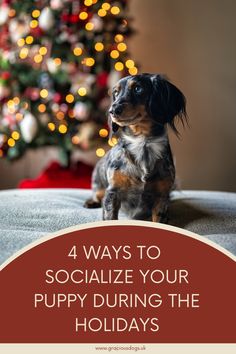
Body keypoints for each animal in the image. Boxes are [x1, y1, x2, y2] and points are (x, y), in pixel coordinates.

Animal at [84, 72, 187, 221]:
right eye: (115, 93)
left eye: (138, 89)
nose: (112, 110)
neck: (142, 143)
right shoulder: (113, 192)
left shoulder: (162, 197)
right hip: (99, 187)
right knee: (97, 195)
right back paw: (90, 202)